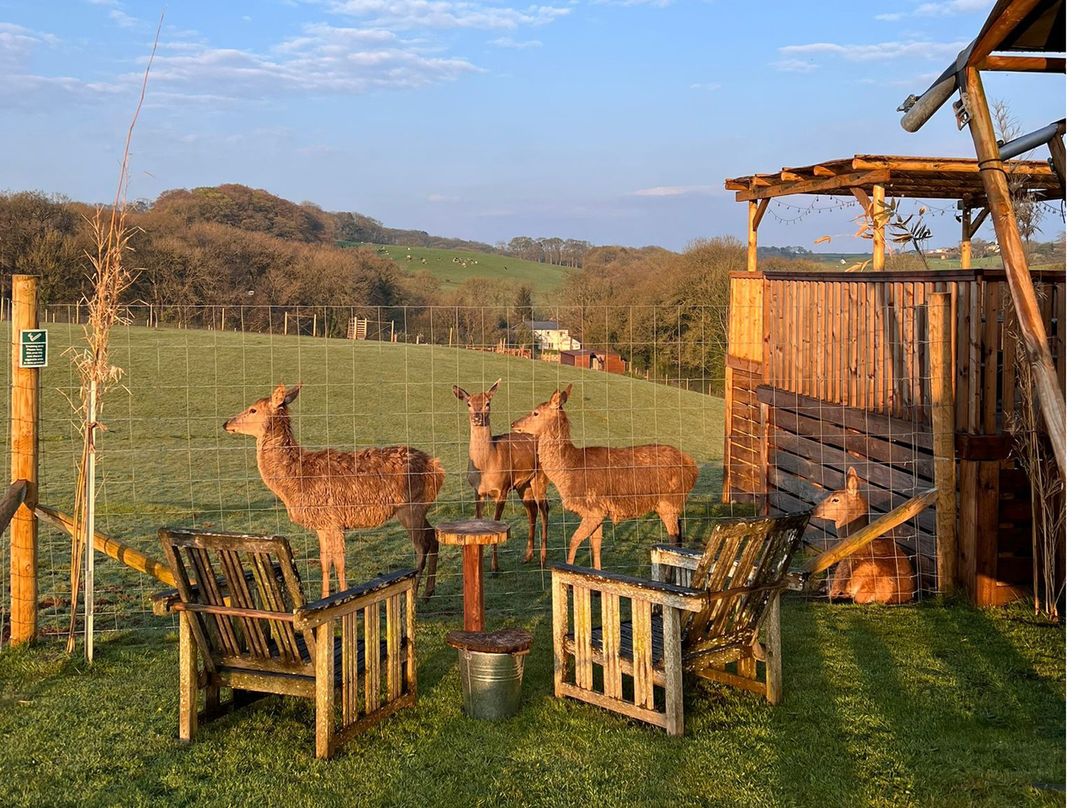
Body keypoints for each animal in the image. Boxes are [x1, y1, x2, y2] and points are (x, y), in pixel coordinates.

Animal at [224, 384, 445, 600]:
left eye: (253, 409)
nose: (226, 423)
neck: (295, 483)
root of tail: (437, 468)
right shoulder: (322, 524)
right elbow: (325, 561)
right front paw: (324, 597)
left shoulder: (334, 520)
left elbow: (339, 562)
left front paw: (345, 596)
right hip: (420, 508)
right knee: (433, 536)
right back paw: (428, 592)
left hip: (410, 508)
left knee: (421, 546)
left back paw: (416, 592)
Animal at [452, 380, 550, 571]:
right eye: (468, 403)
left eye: (487, 403)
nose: (477, 417)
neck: (486, 468)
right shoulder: (477, 491)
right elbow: (479, 519)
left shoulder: (502, 489)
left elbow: (496, 523)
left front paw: (495, 567)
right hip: (523, 485)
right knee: (532, 510)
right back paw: (527, 556)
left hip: (540, 479)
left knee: (544, 509)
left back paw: (543, 559)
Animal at [511, 385, 698, 569]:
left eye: (535, 412)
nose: (513, 423)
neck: (570, 472)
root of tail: (692, 467)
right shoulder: (598, 511)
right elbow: (596, 543)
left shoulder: (594, 509)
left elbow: (574, 540)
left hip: (669, 502)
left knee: (674, 541)